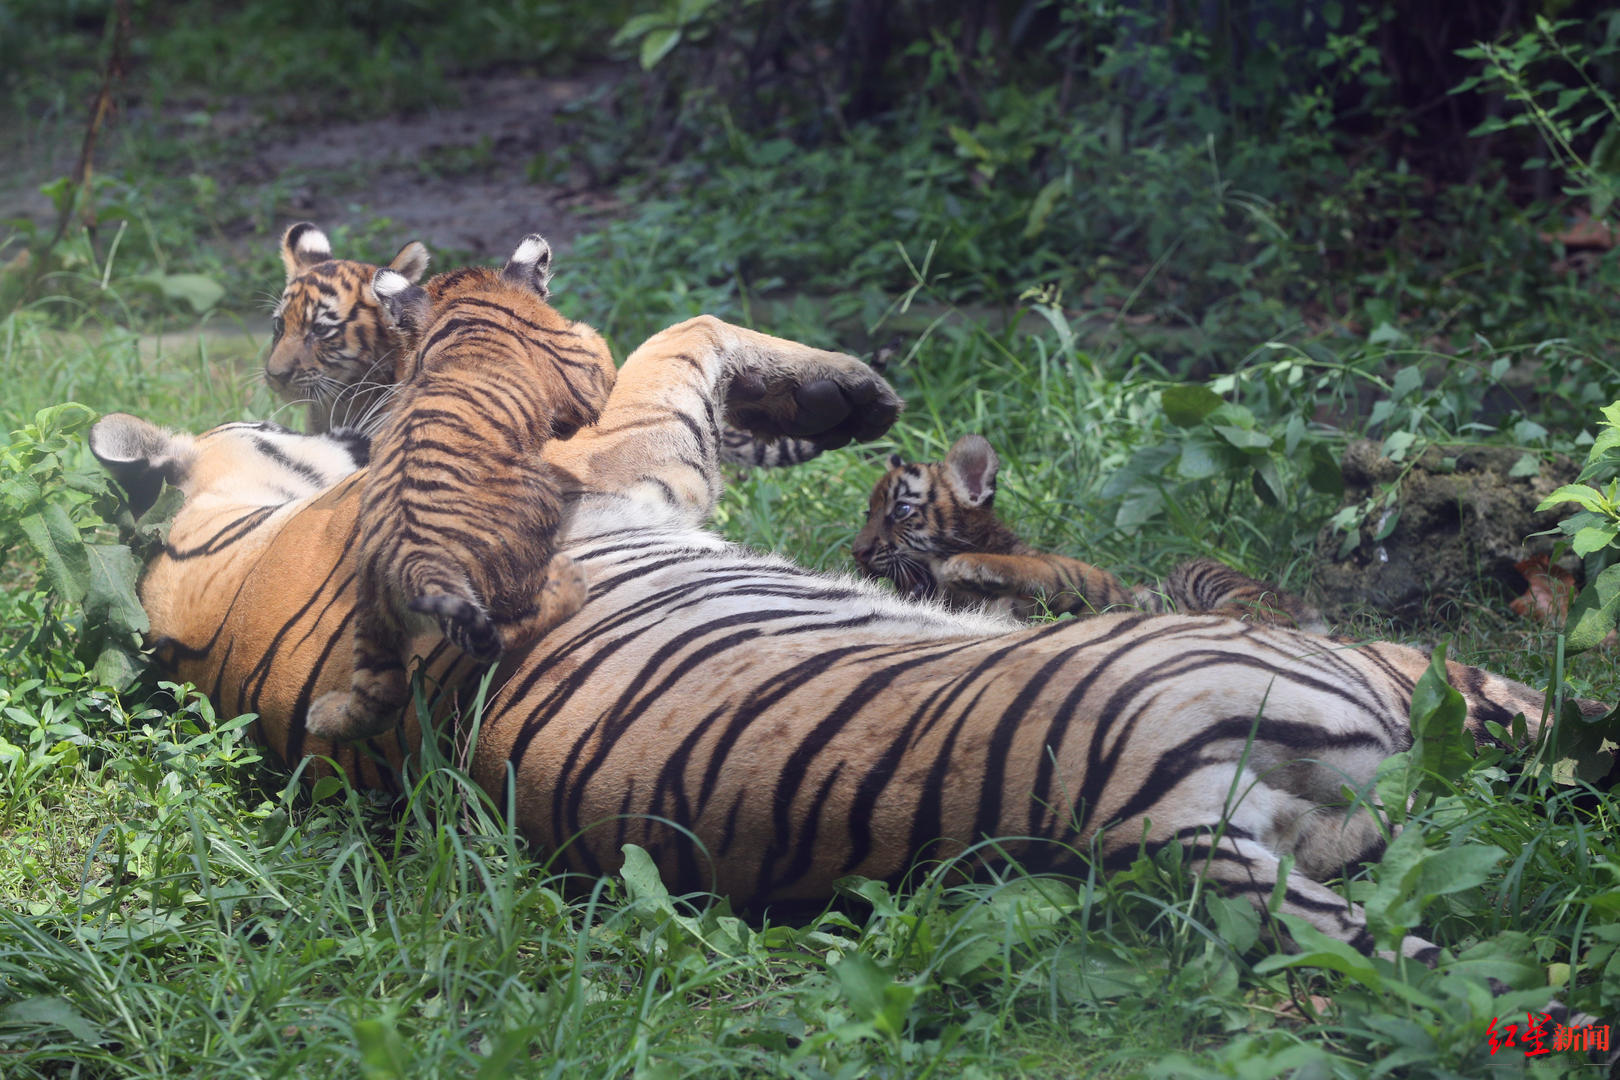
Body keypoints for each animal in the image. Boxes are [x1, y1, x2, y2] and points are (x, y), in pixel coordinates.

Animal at [302, 234, 612, 744]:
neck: (467, 299)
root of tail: (413, 558)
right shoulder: (580, 367)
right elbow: (595, 344)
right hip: (529, 524)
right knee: (508, 630)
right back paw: (569, 583)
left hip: (372, 613)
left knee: (378, 694)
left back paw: (322, 714)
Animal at [855, 433, 1321, 628]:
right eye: (868, 511)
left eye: (901, 510)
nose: (857, 552)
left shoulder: (1076, 575)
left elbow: (1024, 567)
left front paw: (965, 565)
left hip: (1198, 569)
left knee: (1253, 610)